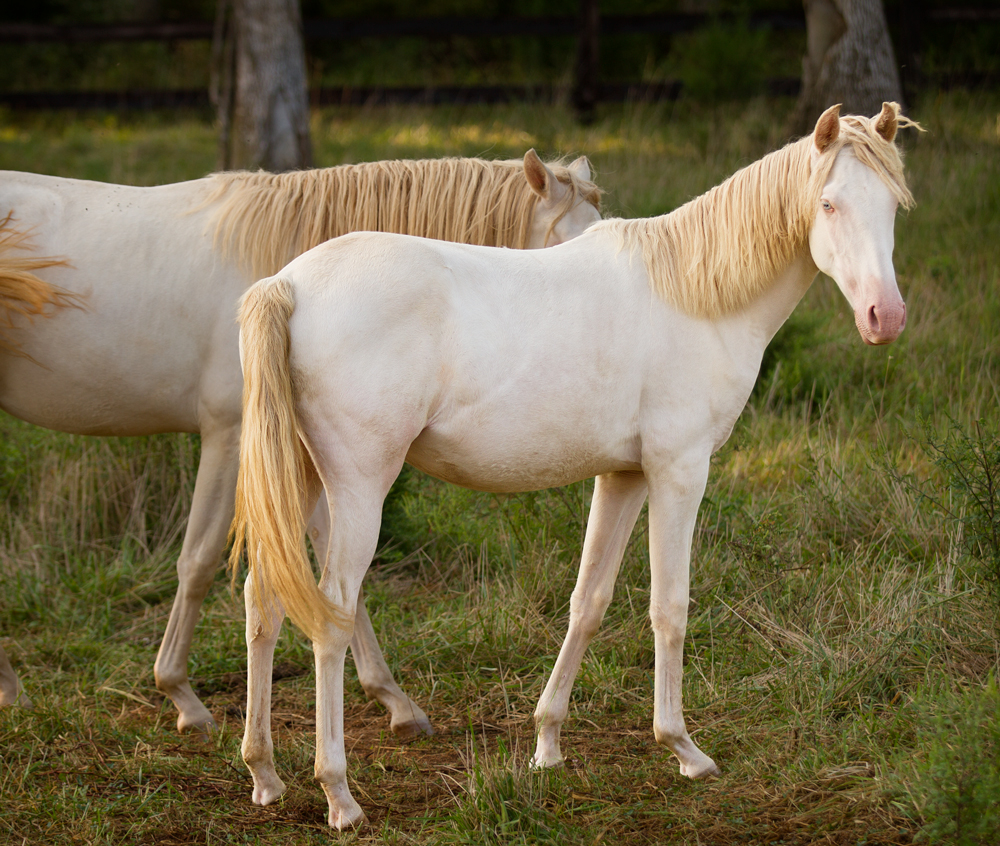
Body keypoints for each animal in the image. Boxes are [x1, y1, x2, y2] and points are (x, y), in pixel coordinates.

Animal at [232, 104, 916, 828]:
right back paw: (338, 792)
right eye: (829, 203)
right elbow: (670, 606)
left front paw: (547, 742)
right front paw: (683, 748)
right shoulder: (679, 472)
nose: (885, 317)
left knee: (263, 598)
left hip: (300, 482)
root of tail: (288, 285)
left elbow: (589, 602)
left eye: (891, 206)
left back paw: (265, 774)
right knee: (332, 612)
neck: (695, 294)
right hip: (359, 490)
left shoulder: (624, 477)